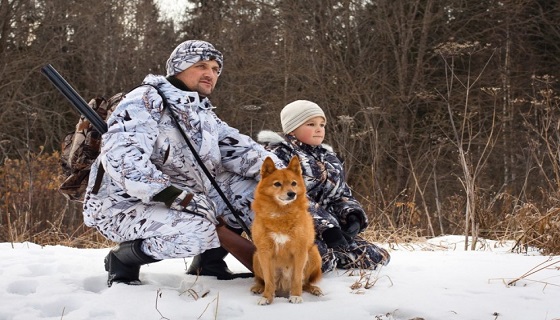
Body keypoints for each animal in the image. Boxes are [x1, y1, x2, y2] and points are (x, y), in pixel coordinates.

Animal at [250, 157, 324, 304]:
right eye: (277, 184)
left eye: (294, 183)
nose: (292, 193)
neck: (281, 213)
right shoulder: (265, 252)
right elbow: (268, 280)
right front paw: (267, 297)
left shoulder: (300, 251)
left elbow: (297, 279)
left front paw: (296, 296)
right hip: (256, 256)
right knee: (263, 281)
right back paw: (258, 288)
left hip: (313, 253)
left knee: (305, 283)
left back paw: (314, 289)